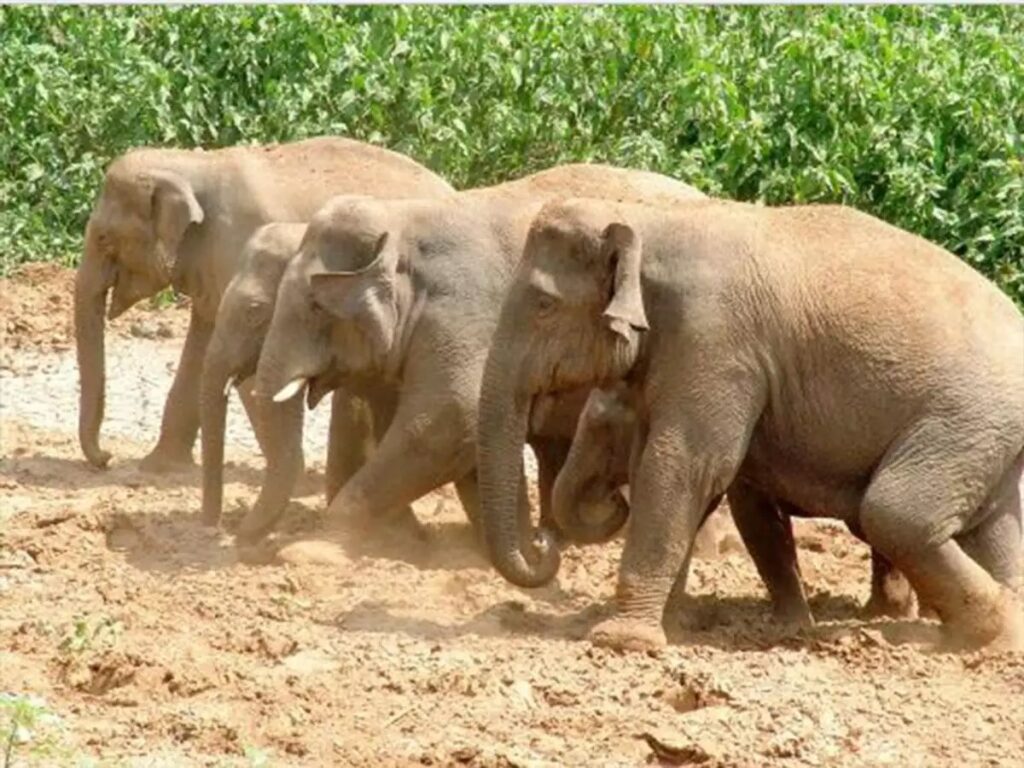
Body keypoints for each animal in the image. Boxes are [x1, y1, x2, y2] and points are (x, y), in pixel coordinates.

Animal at [72, 139, 452, 473]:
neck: (193, 163)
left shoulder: (237, 244)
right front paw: (158, 468)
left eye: (103, 238)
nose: (105, 459)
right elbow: (203, 347)